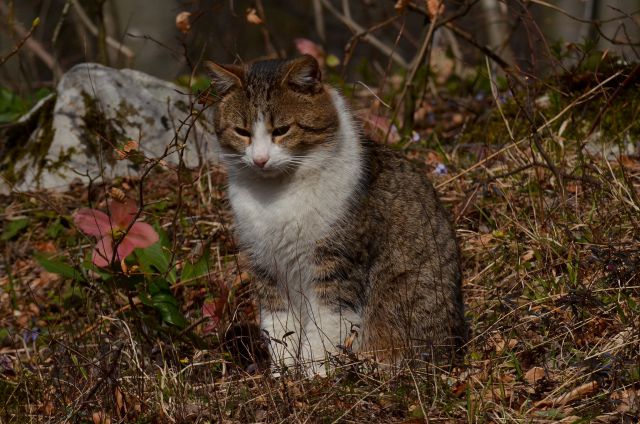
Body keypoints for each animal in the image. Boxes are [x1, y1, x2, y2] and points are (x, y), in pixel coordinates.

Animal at [206, 53, 464, 374]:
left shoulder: (335, 264)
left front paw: (314, 375)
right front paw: (283, 374)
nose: (260, 159)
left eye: (281, 130)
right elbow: (279, 328)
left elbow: (324, 329)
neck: (276, 195)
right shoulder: (267, 266)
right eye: (242, 132)